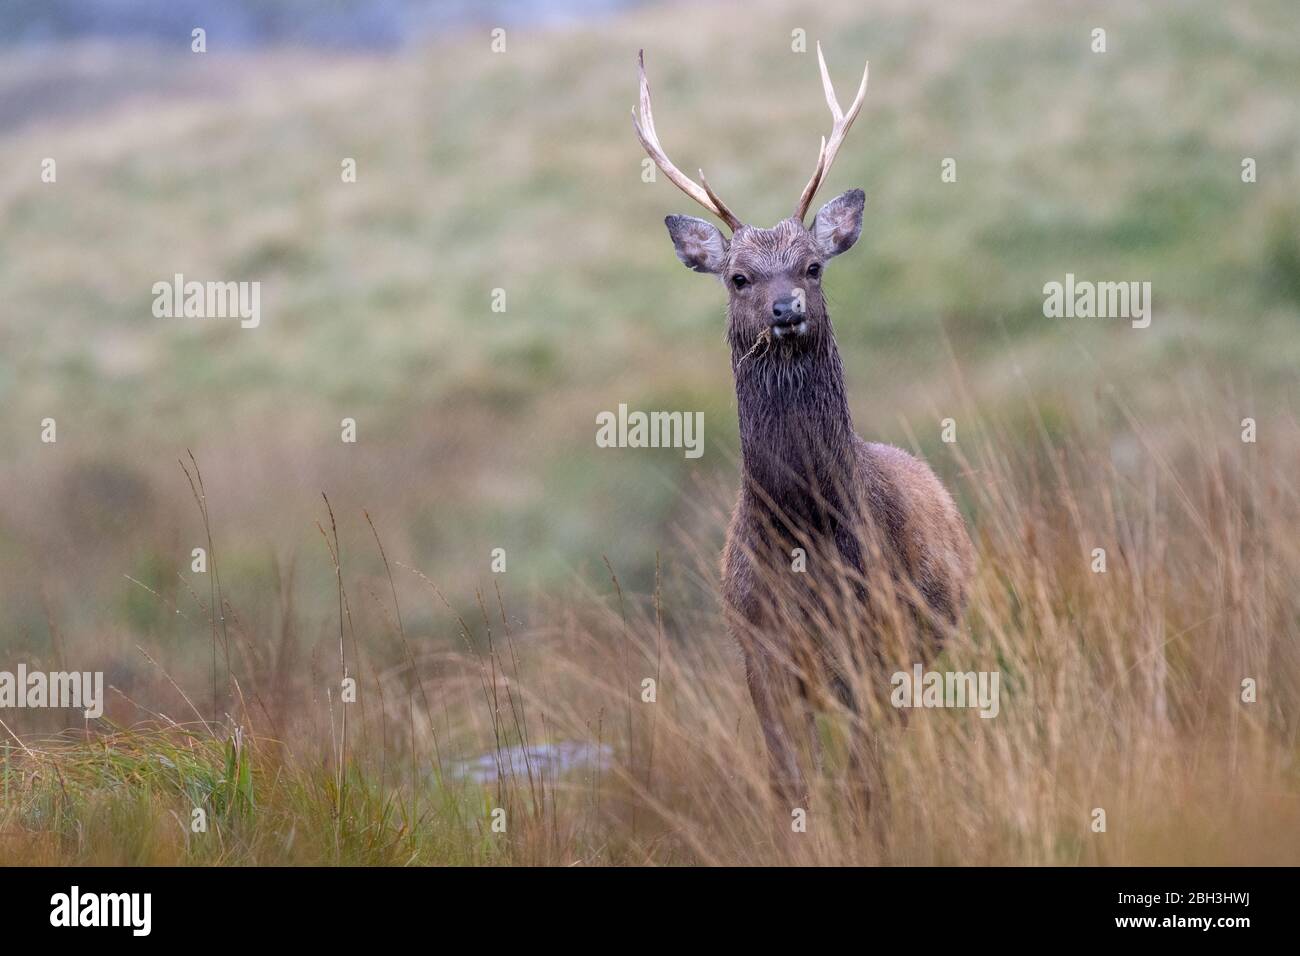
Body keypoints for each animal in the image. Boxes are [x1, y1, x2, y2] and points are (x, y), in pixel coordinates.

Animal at [634, 42, 972, 806]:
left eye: (813, 266)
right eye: (737, 278)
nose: (786, 308)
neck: (805, 544)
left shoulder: (878, 641)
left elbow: (865, 778)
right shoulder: (760, 651)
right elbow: (789, 777)